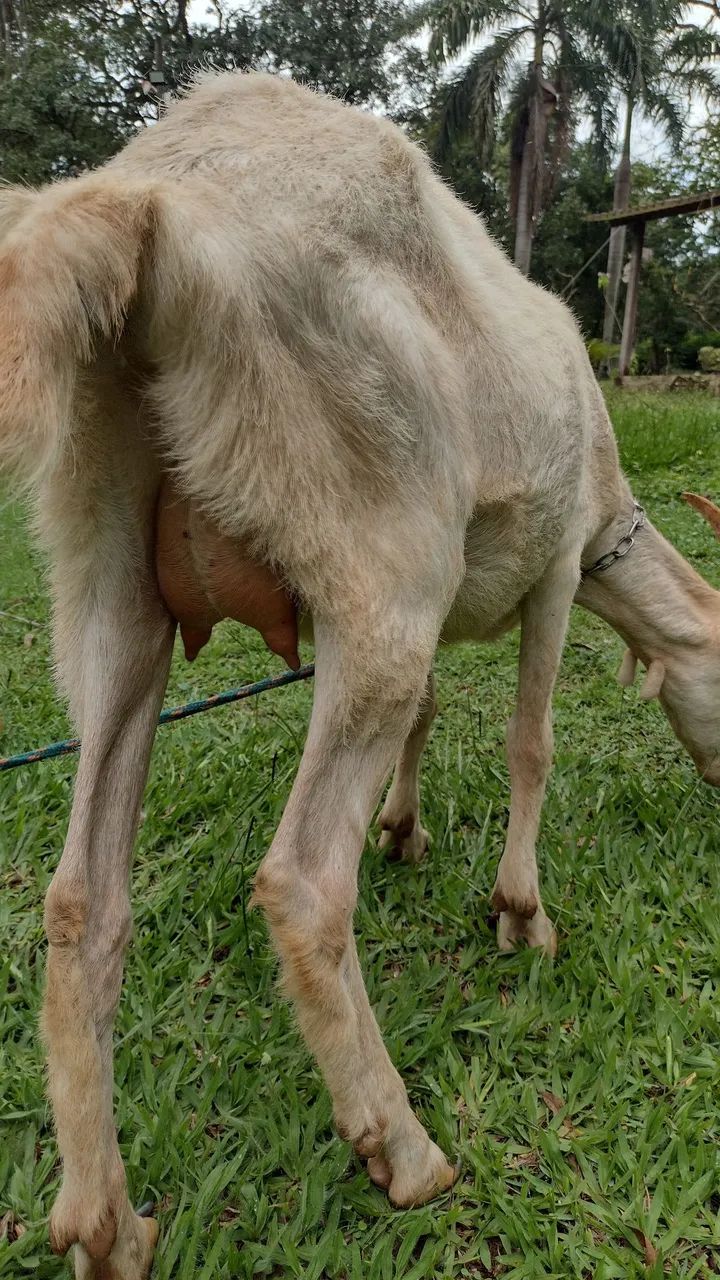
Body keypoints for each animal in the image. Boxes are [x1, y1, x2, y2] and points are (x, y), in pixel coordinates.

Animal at [1, 72, 719, 1279]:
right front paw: (521, 913)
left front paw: (404, 827)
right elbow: (532, 742)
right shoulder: (556, 564)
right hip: (377, 549)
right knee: (297, 880)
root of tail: (142, 201)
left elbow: (428, 716)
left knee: (81, 893)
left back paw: (106, 1222)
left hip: (108, 567)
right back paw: (403, 1146)